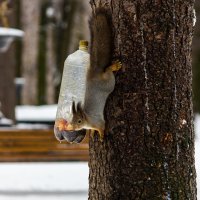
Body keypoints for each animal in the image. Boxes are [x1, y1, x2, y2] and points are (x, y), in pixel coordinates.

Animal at [64, 8, 121, 142]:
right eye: (71, 119)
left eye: (79, 121)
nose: (72, 127)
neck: (87, 119)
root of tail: (94, 73)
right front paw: (93, 133)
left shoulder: (98, 121)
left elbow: (102, 127)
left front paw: (101, 135)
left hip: (109, 83)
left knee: (108, 71)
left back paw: (114, 66)